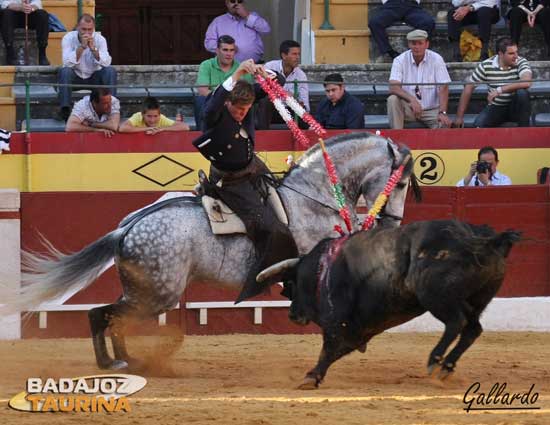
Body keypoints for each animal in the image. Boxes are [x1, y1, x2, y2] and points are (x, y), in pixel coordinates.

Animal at [0, 132, 420, 368]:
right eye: (400, 183)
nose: (392, 222)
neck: (313, 195)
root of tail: (126, 229)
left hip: (147, 290)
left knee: (114, 317)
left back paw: (127, 359)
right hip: (160, 293)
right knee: (101, 314)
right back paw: (111, 363)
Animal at [256, 219, 520, 388]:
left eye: (291, 285)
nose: (292, 315)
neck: (323, 269)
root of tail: (482, 239)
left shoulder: (337, 320)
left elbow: (328, 347)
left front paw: (311, 377)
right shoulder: (357, 329)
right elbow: (336, 350)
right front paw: (315, 375)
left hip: (435, 296)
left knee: (456, 322)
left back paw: (435, 360)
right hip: (475, 300)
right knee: (472, 328)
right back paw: (446, 366)